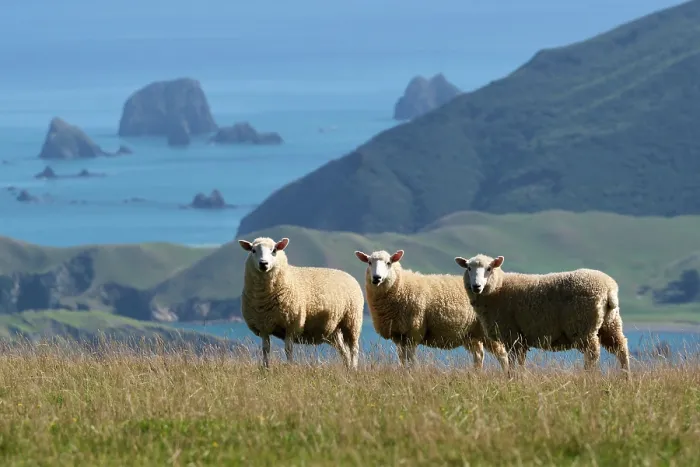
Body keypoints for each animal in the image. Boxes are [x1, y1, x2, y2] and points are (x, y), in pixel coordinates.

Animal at [238, 236, 364, 369]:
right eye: (253, 250)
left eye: (274, 250)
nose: (263, 264)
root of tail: (348, 275)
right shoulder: (263, 326)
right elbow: (265, 349)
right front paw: (266, 367)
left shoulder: (291, 324)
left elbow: (288, 349)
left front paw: (290, 366)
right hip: (334, 329)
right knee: (344, 351)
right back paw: (347, 368)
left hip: (352, 321)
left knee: (354, 348)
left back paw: (354, 368)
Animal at [354, 249, 509, 371]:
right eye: (369, 262)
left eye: (388, 263)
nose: (376, 278)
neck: (400, 286)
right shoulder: (398, 334)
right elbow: (402, 359)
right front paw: (404, 373)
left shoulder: (414, 330)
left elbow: (410, 359)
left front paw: (412, 374)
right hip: (471, 333)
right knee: (478, 355)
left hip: (487, 329)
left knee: (502, 355)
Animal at [454, 253, 631, 376]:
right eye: (468, 268)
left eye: (489, 268)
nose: (476, 286)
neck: (498, 289)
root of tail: (609, 289)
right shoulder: (520, 338)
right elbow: (520, 362)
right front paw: (521, 378)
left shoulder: (512, 334)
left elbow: (512, 362)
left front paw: (512, 379)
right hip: (610, 323)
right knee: (621, 348)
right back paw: (625, 377)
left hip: (582, 325)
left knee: (593, 353)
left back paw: (588, 376)